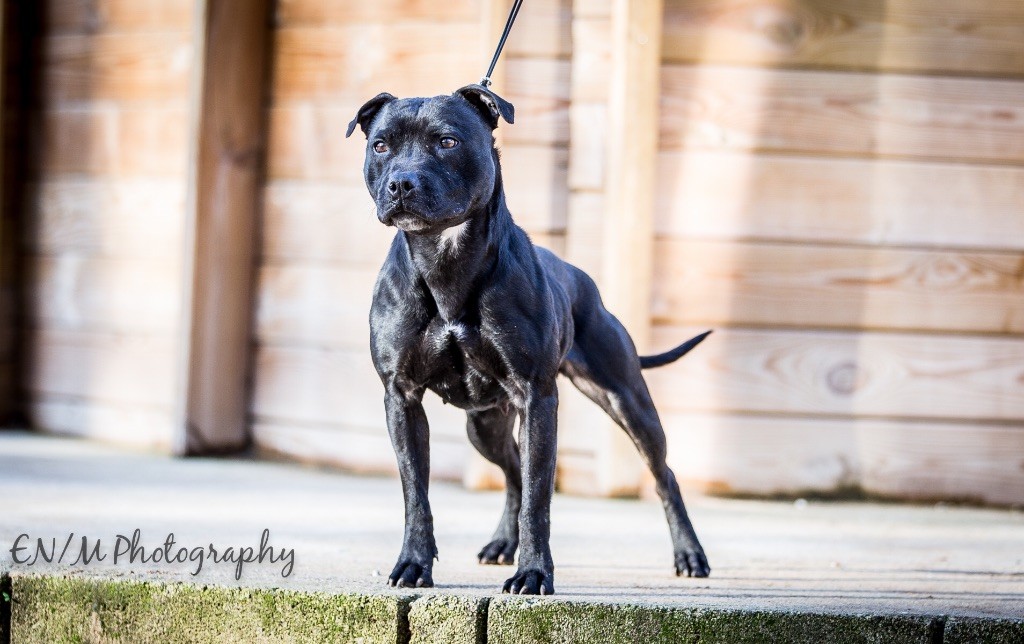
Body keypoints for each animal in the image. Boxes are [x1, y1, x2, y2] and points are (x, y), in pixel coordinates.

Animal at [346, 84, 711, 595]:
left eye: (447, 141)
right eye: (381, 146)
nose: (401, 183)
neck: (444, 261)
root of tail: (584, 282)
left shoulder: (538, 397)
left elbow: (539, 498)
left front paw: (534, 573)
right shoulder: (402, 398)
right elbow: (416, 493)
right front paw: (415, 564)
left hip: (628, 403)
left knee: (664, 477)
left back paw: (689, 554)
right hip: (484, 426)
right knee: (514, 473)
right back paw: (502, 543)